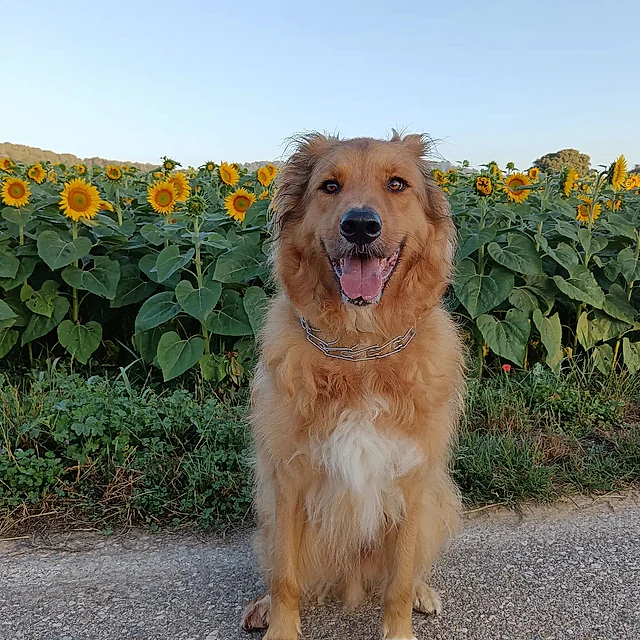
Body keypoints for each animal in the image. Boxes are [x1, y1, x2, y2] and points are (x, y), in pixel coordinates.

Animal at [242, 131, 462, 640]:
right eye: (330, 186)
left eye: (397, 184)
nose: (360, 226)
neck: (360, 354)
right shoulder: (287, 482)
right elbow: (285, 579)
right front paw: (280, 626)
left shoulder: (412, 483)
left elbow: (397, 582)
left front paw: (400, 626)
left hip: (438, 502)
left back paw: (423, 590)